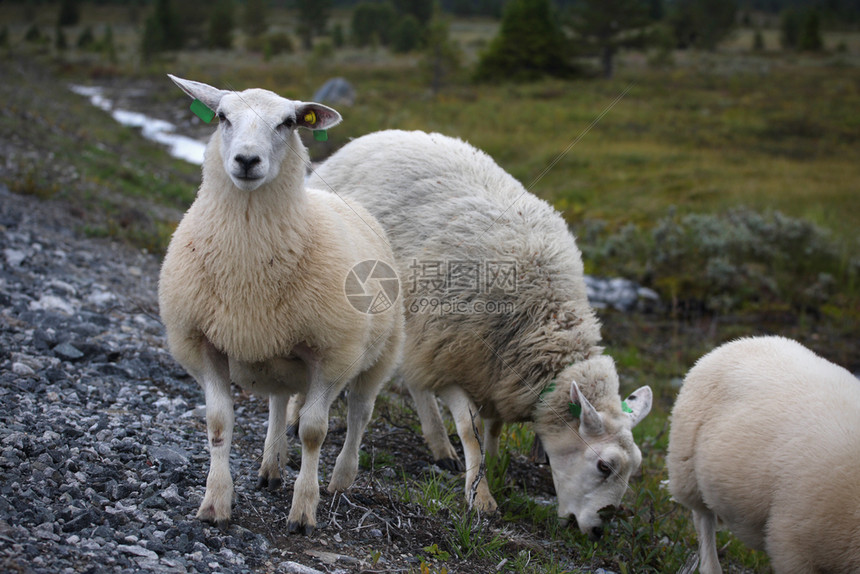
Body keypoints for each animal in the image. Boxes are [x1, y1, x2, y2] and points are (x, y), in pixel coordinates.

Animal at [158, 75, 406, 536]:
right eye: (222, 116)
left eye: (288, 123)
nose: (246, 160)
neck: (248, 266)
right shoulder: (202, 343)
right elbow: (218, 422)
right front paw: (215, 502)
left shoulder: (332, 353)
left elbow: (313, 431)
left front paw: (304, 511)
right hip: (278, 355)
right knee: (277, 401)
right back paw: (271, 465)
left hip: (380, 354)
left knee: (359, 415)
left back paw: (341, 479)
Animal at [306, 129, 648, 540]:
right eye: (604, 466)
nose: (598, 531)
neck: (543, 320)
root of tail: (374, 136)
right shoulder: (452, 357)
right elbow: (469, 427)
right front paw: (480, 495)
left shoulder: (491, 370)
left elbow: (493, 426)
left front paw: (494, 462)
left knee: (415, 379)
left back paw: (440, 446)